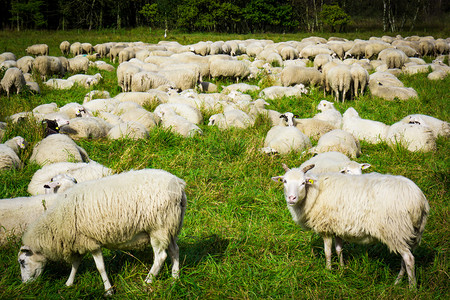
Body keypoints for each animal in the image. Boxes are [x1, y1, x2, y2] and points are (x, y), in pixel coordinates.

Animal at [18, 169, 187, 296]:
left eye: (22, 262)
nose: (25, 284)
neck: (57, 218)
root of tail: (179, 185)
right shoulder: (79, 241)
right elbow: (76, 263)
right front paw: (69, 283)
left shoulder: (90, 241)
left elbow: (100, 267)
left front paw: (108, 291)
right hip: (170, 227)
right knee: (175, 251)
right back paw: (175, 280)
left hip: (158, 227)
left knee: (160, 257)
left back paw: (147, 282)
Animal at [270, 163, 428, 290]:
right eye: (284, 181)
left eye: (303, 182)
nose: (291, 198)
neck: (314, 193)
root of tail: (418, 199)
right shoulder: (337, 226)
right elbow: (339, 249)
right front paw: (341, 270)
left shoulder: (325, 226)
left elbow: (328, 252)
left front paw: (328, 271)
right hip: (410, 232)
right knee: (405, 259)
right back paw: (397, 282)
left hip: (394, 229)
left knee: (409, 259)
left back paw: (412, 288)